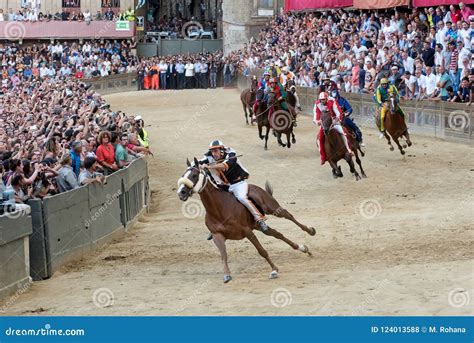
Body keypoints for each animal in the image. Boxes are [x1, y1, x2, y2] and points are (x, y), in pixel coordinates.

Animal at [177, 157, 314, 284]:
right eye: (183, 175)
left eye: (194, 175)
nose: (181, 192)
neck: (219, 209)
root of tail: (256, 187)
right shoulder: (217, 235)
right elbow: (223, 255)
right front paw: (227, 275)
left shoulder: (247, 231)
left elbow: (261, 251)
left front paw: (274, 270)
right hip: (257, 225)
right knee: (276, 233)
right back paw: (303, 248)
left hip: (272, 209)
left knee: (288, 215)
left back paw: (310, 230)